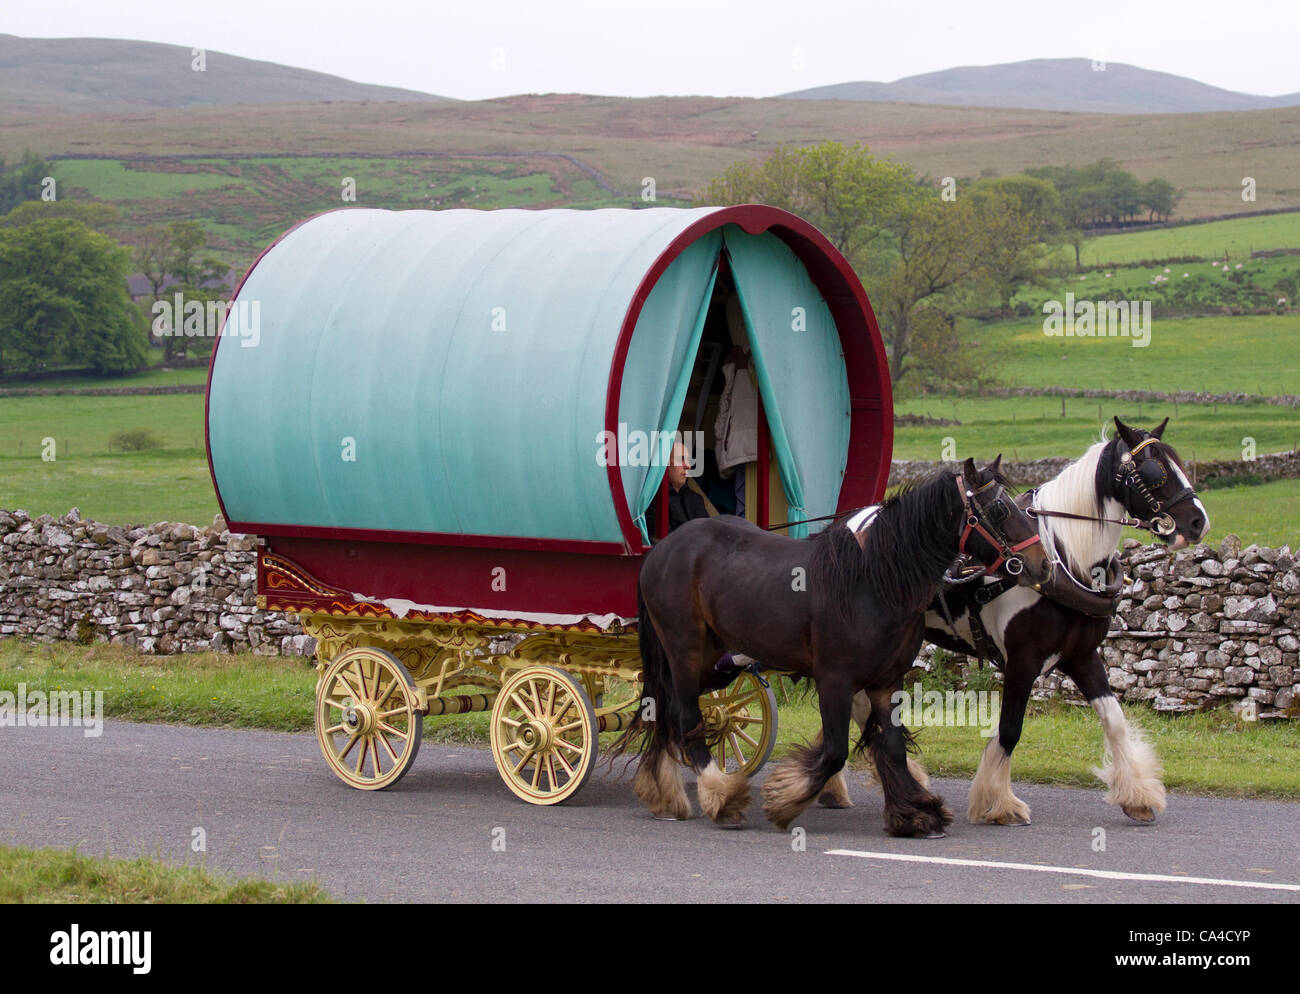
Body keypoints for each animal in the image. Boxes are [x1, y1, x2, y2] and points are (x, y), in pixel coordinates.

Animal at [613, 457, 1050, 836]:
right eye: (998, 510)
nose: (1043, 565)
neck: (872, 580)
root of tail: (662, 549)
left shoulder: (885, 683)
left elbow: (891, 746)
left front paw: (914, 814)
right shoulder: (834, 680)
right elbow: (836, 750)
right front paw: (785, 799)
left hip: (708, 662)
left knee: (665, 711)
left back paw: (664, 792)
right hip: (685, 650)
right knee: (685, 717)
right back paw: (721, 796)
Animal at [826, 415, 1211, 821]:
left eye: (1179, 464)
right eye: (1155, 472)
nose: (1198, 522)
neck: (1065, 557)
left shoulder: (1082, 655)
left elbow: (1114, 721)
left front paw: (1136, 795)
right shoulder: (1023, 659)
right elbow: (1010, 729)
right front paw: (998, 803)